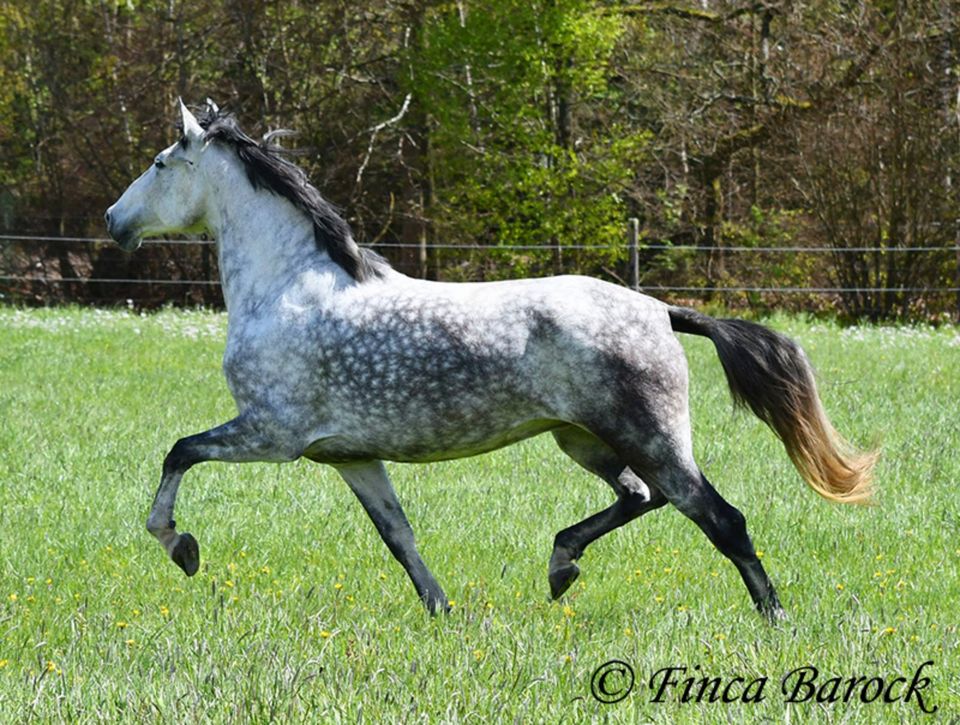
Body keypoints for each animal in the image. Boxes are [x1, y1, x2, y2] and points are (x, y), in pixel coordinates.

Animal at [105, 100, 876, 624]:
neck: (290, 287)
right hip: (584, 439)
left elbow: (179, 452)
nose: (114, 222)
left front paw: (180, 546)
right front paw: (441, 609)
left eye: (159, 164)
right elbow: (399, 536)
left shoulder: (271, 433)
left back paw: (775, 619)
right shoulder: (350, 455)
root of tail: (660, 311)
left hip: (650, 436)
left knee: (720, 518)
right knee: (639, 497)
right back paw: (561, 564)